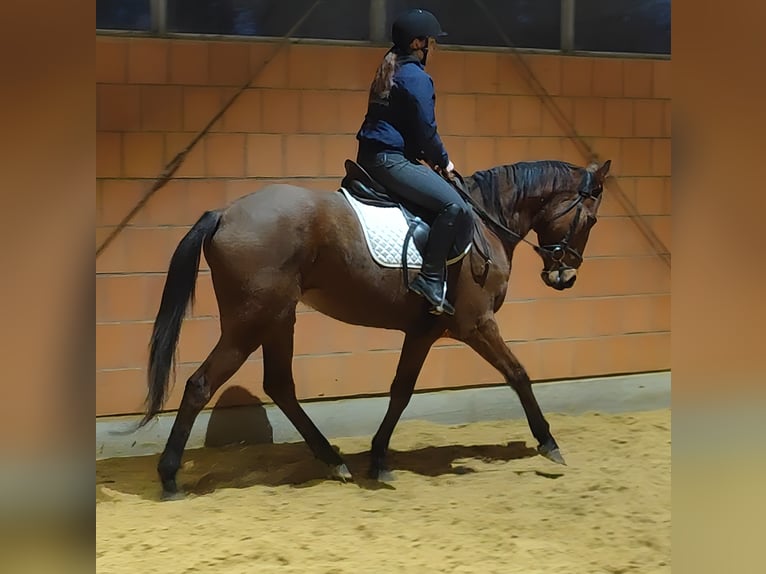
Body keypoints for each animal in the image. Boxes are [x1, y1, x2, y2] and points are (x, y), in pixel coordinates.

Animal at [141, 157, 611, 498]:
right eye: (590, 221)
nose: (565, 277)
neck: (483, 222)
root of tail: (225, 213)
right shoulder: (476, 324)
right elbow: (518, 374)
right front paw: (548, 442)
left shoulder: (422, 332)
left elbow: (401, 391)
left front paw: (379, 457)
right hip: (250, 322)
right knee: (201, 385)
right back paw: (169, 477)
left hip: (278, 318)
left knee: (280, 386)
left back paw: (333, 460)